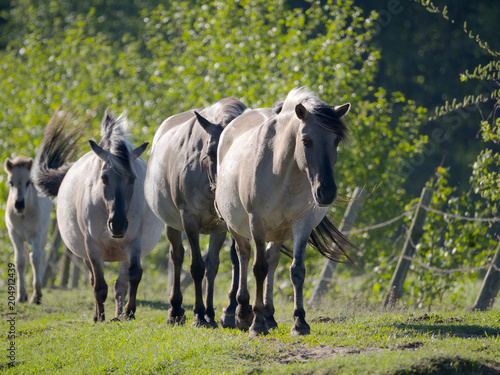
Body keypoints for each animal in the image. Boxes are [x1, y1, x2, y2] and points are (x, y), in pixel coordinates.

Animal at [3, 157, 51, 304]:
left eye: (28, 182)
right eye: (11, 182)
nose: (19, 204)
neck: (23, 215)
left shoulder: (37, 235)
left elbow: (35, 259)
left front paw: (36, 296)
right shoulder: (15, 236)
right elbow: (20, 262)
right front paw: (21, 296)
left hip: (43, 236)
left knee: (41, 256)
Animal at [33, 110, 162, 322]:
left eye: (132, 179)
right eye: (104, 177)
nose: (117, 225)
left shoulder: (133, 243)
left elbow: (134, 276)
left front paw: (129, 313)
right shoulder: (92, 248)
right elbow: (99, 285)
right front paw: (100, 317)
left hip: (122, 253)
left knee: (121, 284)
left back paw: (118, 315)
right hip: (85, 252)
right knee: (95, 280)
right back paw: (99, 314)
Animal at [144, 97, 247, 328]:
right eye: (210, 154)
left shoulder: (225, 225)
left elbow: (226, 263)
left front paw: (226, 312)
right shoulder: (189, 220)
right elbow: (196, 267)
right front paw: (199, 313)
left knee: (212, 264)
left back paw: (210, 312)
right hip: (172, 224)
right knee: (177, 256)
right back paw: (176, 310)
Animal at [215, 89, 352, 338]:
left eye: (336, 141)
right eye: (306, 141)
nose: (326, 192)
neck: (283, 171)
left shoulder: (302, 224)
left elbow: (296, 270)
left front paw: (299, 322)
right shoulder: (257, 224)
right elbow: (258, 268)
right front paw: (256, 323)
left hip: (277, 232)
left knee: (272, 260)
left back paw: (269, 315)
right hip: (235, 226)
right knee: (243, 255)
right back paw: (242, 313)